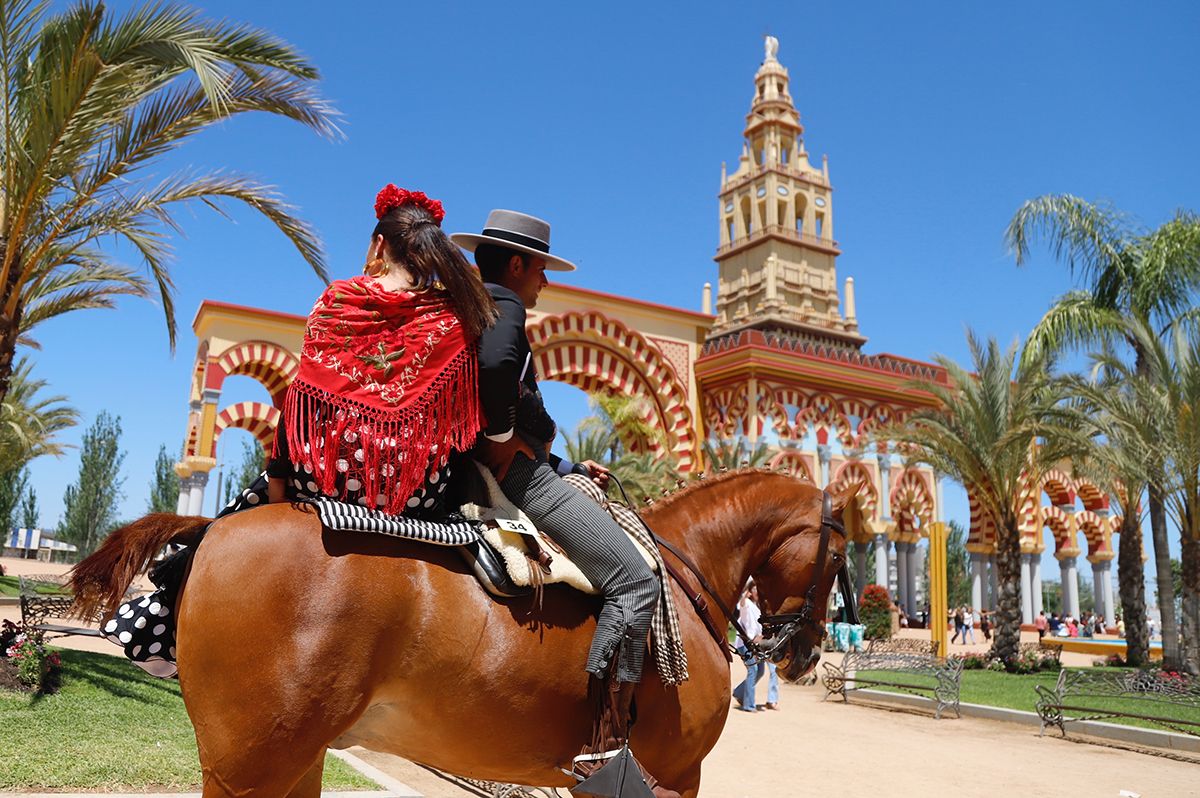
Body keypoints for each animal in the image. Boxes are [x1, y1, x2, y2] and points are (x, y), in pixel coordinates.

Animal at [72, 470, 854, 796]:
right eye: (844, 553)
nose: (812, 649)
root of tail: (213, 525)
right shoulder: (672, 778)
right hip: (252, 764)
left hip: (295, 756)